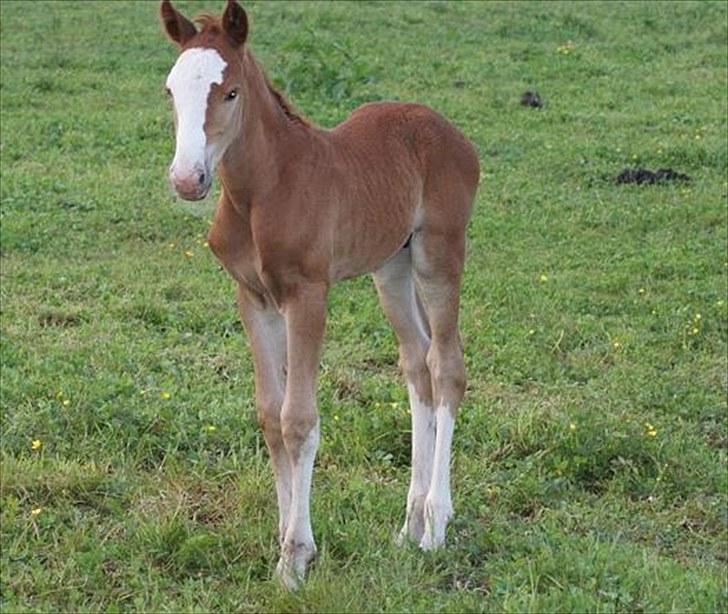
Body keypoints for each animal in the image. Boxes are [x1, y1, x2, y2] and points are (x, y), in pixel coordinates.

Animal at [161, 0, 478, 588]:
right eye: (171, 90)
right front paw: (288, 543)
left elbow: (298, 421)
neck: (263, 191)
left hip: (438, 255)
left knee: (447, 365)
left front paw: (295, 558)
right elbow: (270, 415)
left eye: (230, 92)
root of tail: (448, 129)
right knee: (416, 363)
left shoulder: (308, 294)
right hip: (391, 268)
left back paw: (436, 528)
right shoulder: (253, 298)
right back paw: (409, 525)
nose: (187, 179)